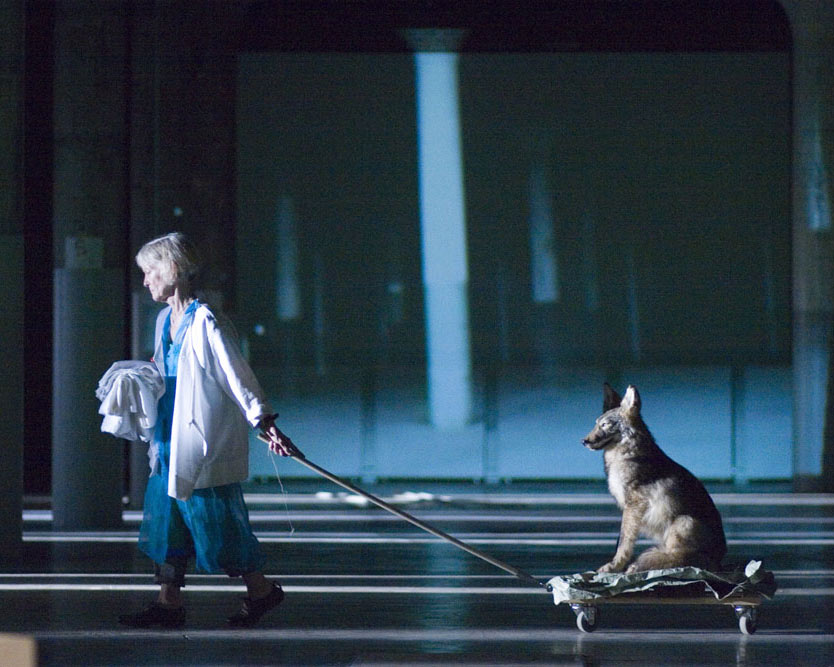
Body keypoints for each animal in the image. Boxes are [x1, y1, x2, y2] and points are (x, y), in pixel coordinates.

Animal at [580, 386, 724, 576]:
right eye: (596, 424)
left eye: (605, 425)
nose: (584, 441)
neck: (627, 453)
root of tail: (720, 559)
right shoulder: (629, 508)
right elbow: (621, 539)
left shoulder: (634, 505)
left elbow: (624, 541)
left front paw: (614, 566)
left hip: (683, 521)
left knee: (682, 559)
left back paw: (640, 565)